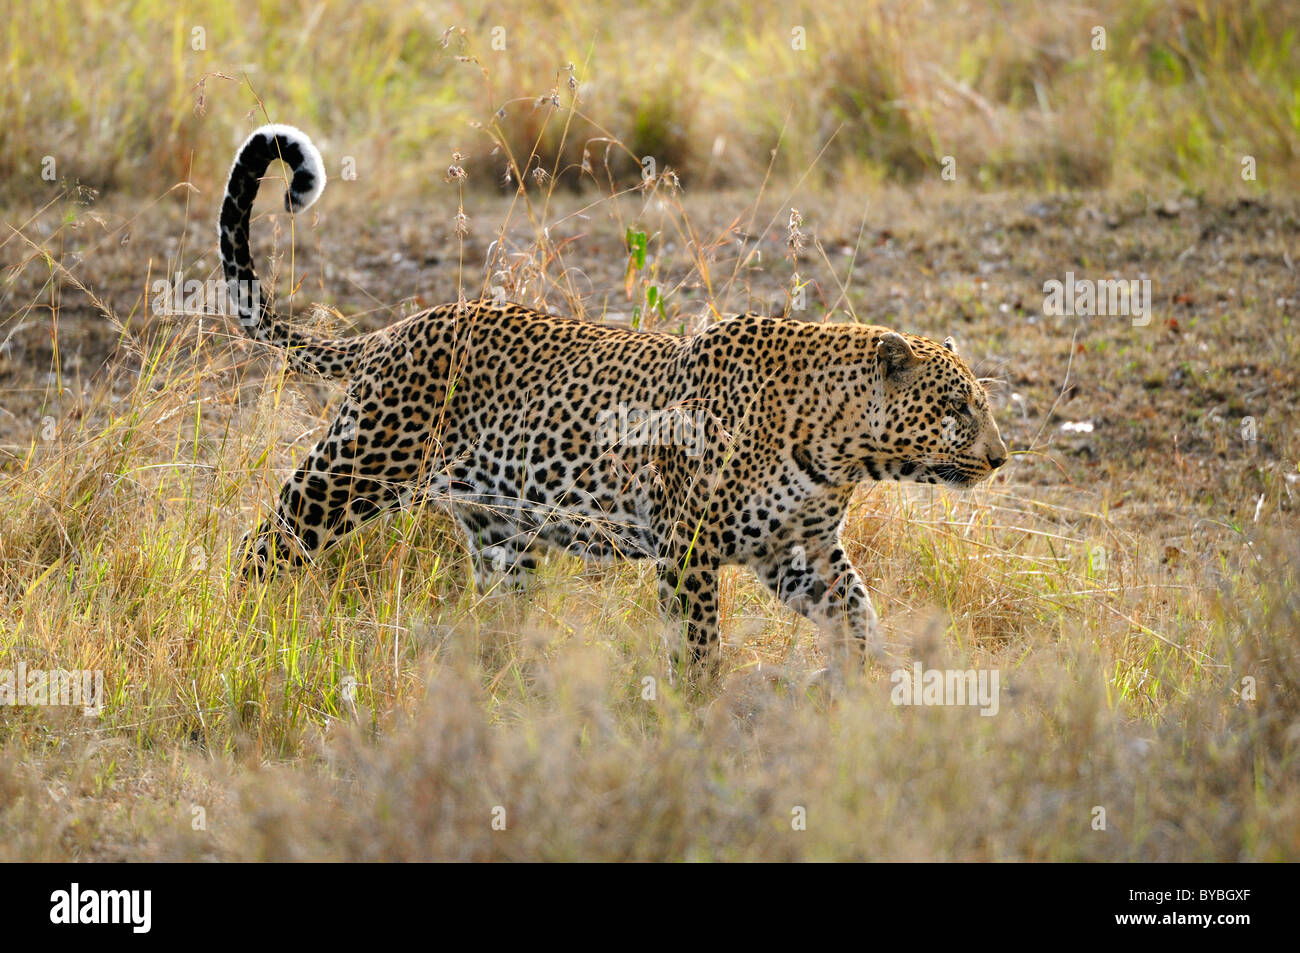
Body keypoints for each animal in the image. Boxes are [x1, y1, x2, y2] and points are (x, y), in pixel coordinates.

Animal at [218, 126, 1003, 676]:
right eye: (960, 408)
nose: (1001, 458)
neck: (839, 450)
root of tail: (391, 331)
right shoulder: (688, 547)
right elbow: (697, 646)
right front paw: (697, 719)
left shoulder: (801, 551)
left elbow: (860, 619)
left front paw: (882, 692)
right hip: (354, 467)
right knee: (268, 542)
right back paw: (240, 624)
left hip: (502, 533)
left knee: (500, 611)